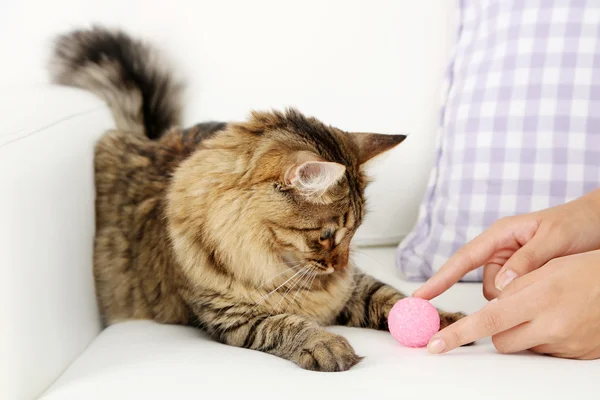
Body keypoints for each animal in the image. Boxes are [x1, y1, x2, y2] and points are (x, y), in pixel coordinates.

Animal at [50, 27, 464, 372]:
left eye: (354, 233)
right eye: (327, 235)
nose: (341, 265)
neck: (275, 260)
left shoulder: (353, 289)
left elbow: (390, 297)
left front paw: (444, 320)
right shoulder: (232, 314)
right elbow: (283, 324)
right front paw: (325, 344)